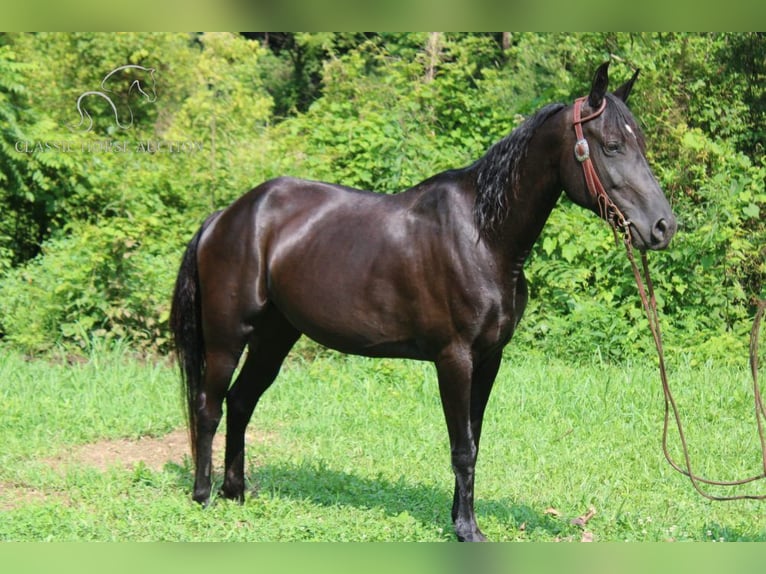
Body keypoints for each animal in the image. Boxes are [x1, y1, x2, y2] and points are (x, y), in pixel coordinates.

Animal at [170, 64, 680, 544]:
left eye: (639, 142)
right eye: (612, 145)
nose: (663, 226)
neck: (482, 236)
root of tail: (228, 215)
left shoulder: (488, 359)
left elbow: (473, 440)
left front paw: (459, 520)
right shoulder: (454, 359)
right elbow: (462, 447)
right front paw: (469, 530)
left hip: (276, 337)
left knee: (241, 401)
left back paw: (235, 492)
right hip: (227, 337)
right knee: (209, 407)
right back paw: (203, 495)